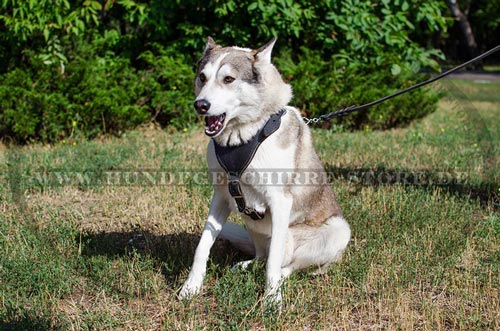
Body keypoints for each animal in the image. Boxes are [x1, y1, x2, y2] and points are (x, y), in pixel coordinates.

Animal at [180, 37, 352, 306]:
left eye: (228, 79)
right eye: (202, 77)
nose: (201, 105)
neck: (244, 135)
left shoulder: (280, 201)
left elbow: (273, 262)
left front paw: (272, 299)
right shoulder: (221, 197)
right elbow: (203, 245)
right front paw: (191, 287)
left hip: (338, 231)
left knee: (287, 264)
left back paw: (280, 278)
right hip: (253, 225)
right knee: (262, 255)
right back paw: (246, 266)